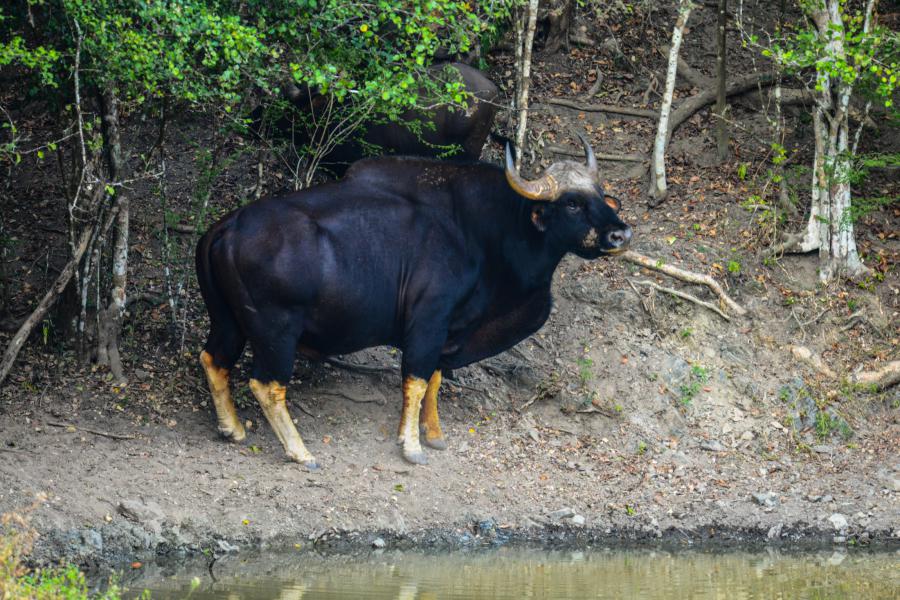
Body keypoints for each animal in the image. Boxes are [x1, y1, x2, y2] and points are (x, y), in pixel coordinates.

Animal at [196, 135, 632, 470]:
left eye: (601, 197)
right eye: (572, 203)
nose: (620, 235)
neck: (481, 233)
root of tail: (227, 228)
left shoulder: (450, 327)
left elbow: (435, 376)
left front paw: (434, 433)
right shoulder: (428, 321)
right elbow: (417, 378)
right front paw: (411, 446)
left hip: (227, 320)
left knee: (213, 359)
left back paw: (232, 428)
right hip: (276, 332)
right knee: (267, 384)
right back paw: (301, 452)